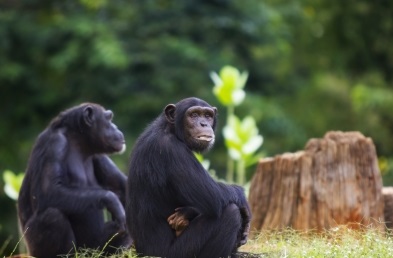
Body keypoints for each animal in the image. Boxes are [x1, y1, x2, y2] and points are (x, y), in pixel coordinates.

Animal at [17, 103, 132, 258]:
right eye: (109, 119)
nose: (116, 127)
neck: (79, 142)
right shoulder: (54, 143)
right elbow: (49, 191)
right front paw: (113, 201)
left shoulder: (99, 155)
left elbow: (122, 187)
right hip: (37, 249)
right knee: (53, 216)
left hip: (97, 250)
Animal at [125, 97, 250, 258]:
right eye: (194, 115)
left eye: (207, 116)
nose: (203, 123)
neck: (170, 130)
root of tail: (138, 251)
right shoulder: (173, 151)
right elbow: (213, 196)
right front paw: (245, 205)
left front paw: (187, 212)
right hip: (174, 253)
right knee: (231, 212)